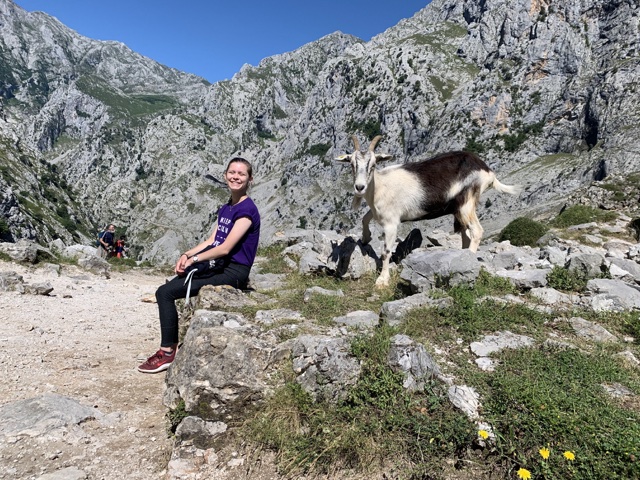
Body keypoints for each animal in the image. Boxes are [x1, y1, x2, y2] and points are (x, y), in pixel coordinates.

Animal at [336, 135, 521, 287]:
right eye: (352, 164)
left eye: (373, 165)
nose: (359, 187)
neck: (380, 186)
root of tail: (487, 172)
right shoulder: (379, 212)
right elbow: (365, 218)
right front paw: (365, 238)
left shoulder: (391, 223)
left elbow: (386, 252)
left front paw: (382, 280)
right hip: (460, 209)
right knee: (466, 234)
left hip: (466, 203)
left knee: (477, 231)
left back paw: (467, 258)